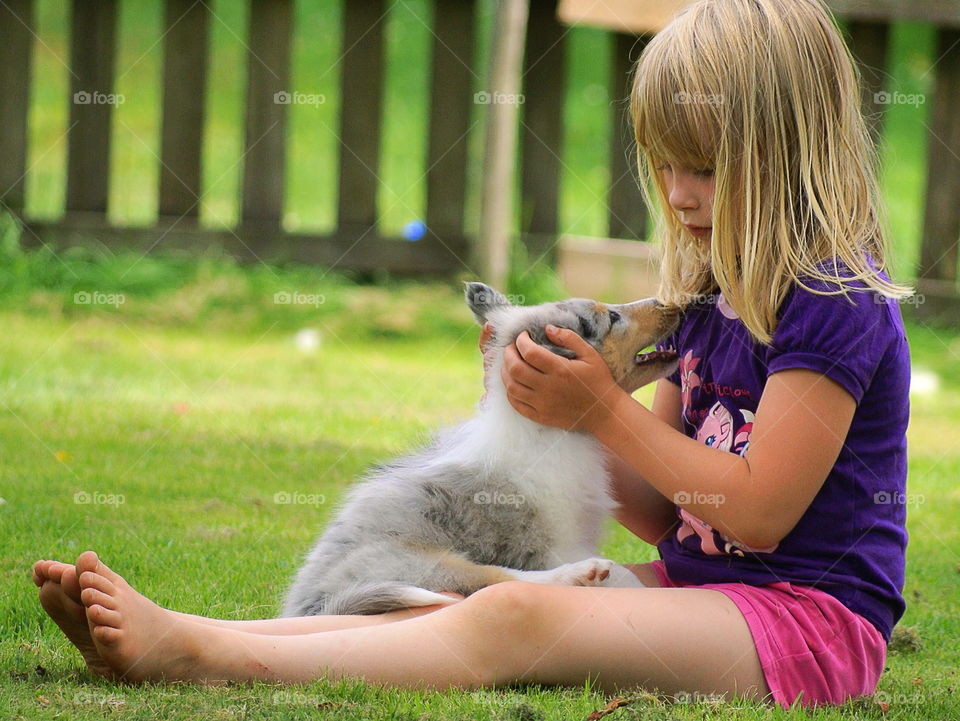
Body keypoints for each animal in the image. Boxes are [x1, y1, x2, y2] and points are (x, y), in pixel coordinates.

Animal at [282, 282, 680, 612]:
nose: (673, 303)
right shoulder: (560, 540)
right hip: (417, 562)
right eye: (612, 318)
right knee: (497, 579)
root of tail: (315, 603)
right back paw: (581, 573)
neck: (546, 429)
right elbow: (624, 577)